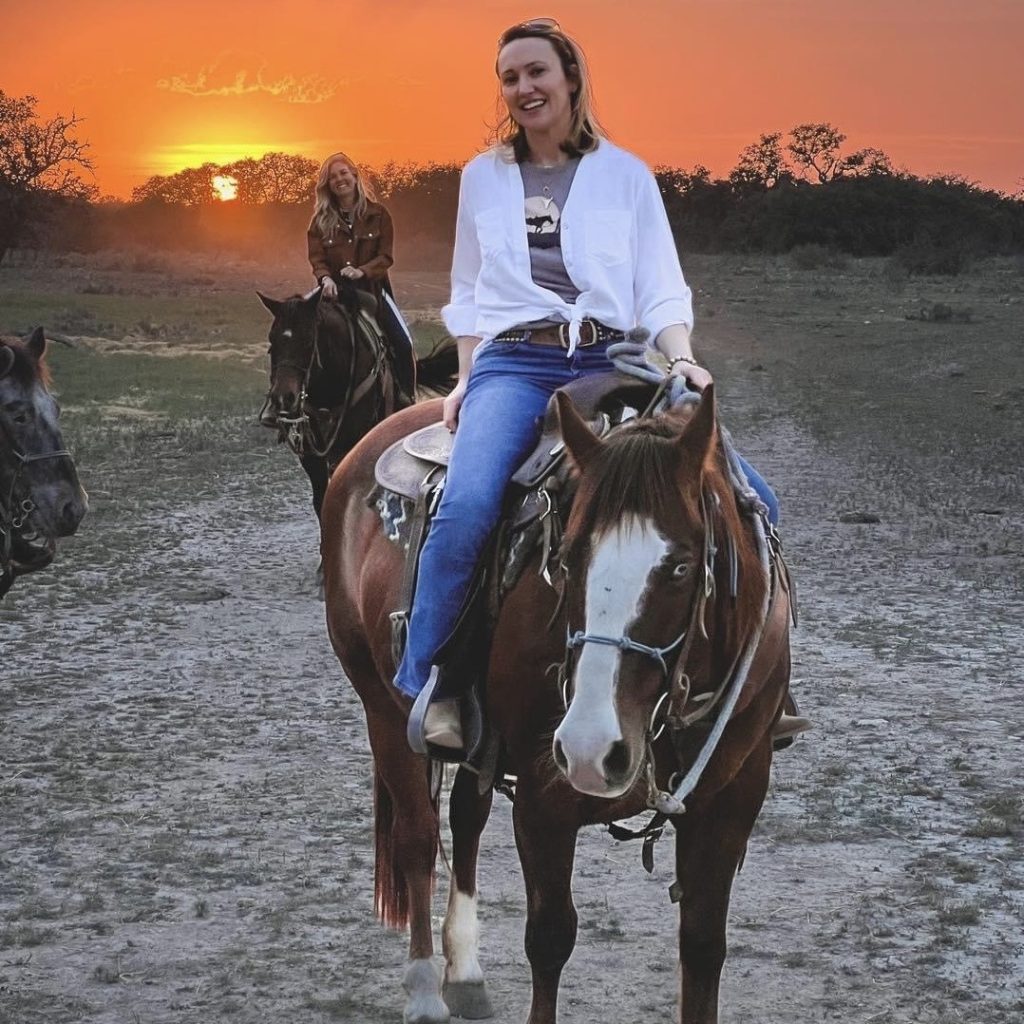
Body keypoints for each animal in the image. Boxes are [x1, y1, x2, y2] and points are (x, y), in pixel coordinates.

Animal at [319, 385, 790, 1024]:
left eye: (681, 566)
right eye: (565, 558)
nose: (592, 748)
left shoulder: (733, 800)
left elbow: (701, 946)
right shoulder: (545, 801)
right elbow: (549, 938)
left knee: (466, 816)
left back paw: (464, 972)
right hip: (381, 708)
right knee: (417, 836)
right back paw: (423, 988)